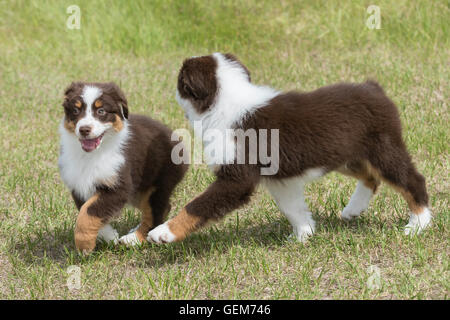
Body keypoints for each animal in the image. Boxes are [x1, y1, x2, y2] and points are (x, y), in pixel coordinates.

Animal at [58, 82, 188, 252]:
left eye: (101, 111)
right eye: (75, 110)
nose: (84, 129)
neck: (92, 154)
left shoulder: (119, 185)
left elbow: (88, 212)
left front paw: (84, 244)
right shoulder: (78, 185)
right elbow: (87, 208)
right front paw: (108, 236)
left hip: (159, 181)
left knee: (156, 210)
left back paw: (134, 238)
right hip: (139, 190)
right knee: (162, 207)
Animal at [148, 52, 432, 242]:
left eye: (180, 81)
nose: (171, 89)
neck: (225, 102)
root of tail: (374, 88)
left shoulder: (237, 178)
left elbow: (198, 205)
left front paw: (163, 232)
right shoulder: (280, 179)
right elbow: (292, 208)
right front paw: (304, 235)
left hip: (382, 148)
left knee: (411, 180)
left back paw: (418, 224)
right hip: (345, 155)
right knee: (371, 178)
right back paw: (352, 210)